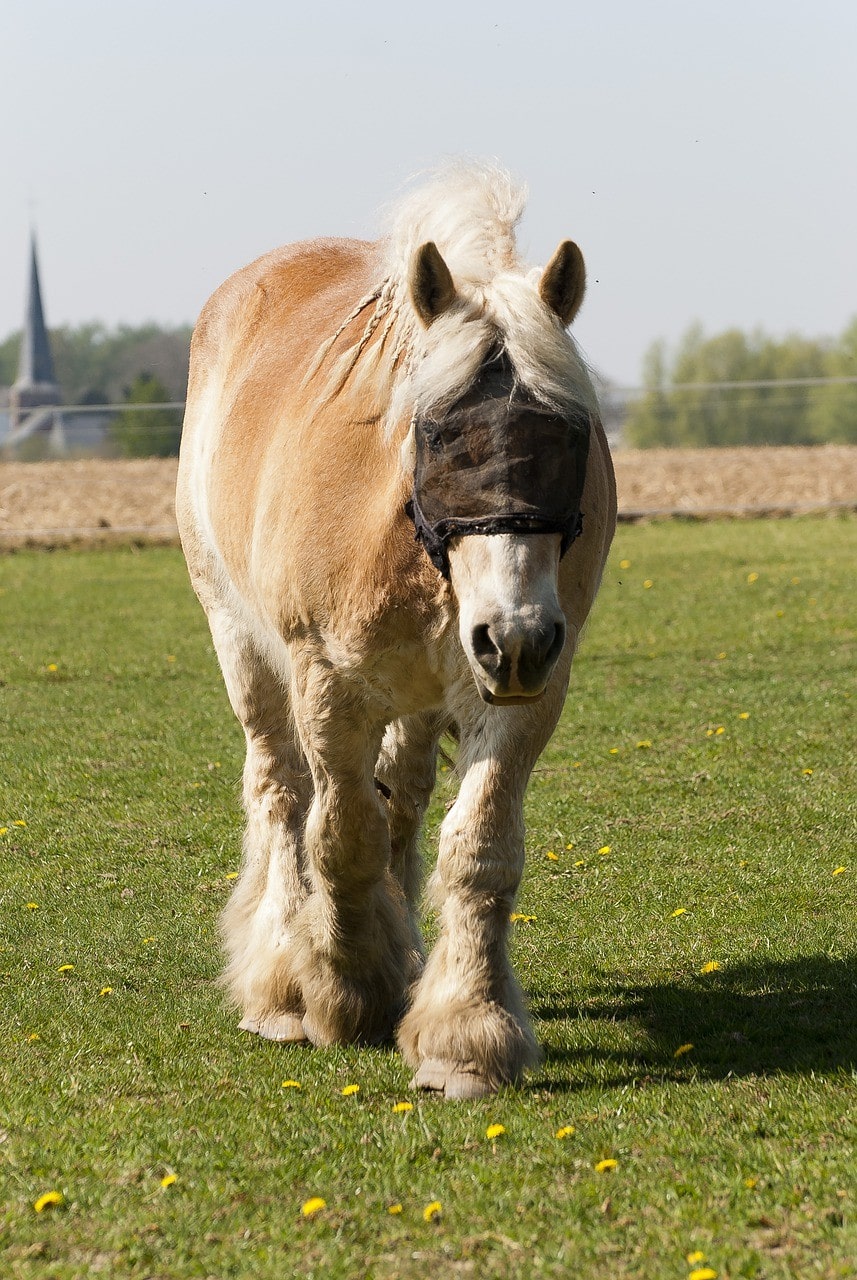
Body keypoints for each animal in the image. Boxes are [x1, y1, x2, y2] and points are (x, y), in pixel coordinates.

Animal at [176, 162, 619, 1100]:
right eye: (441, 433)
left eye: (569, 436)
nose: (514, 636)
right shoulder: (328, 686)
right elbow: (339, 837)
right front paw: (344, 992)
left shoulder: (521, 696)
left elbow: (477, 850)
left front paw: (464, 1032)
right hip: (242, 645)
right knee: (281, 793)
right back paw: (282, 984)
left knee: (405, 801)